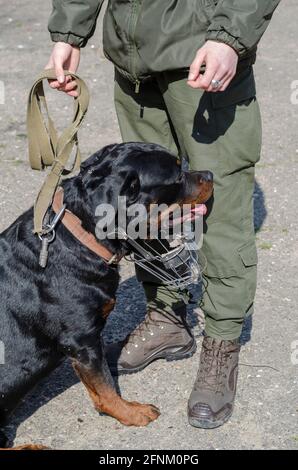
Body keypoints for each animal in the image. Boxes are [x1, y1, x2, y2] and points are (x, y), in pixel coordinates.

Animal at [0, 142, 214, 448]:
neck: (81, 237)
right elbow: (105, 388)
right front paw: (132, 413)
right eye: (177, 176)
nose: (210, 174)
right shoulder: (82, 341)